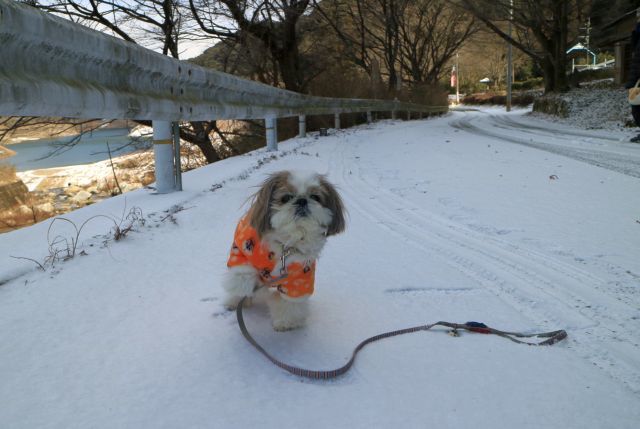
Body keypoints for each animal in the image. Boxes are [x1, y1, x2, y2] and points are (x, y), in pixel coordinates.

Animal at [224, 171, 344, 332]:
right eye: (286, 198)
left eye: (315, 197)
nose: (302, 200)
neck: (285, 245)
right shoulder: (242, 250)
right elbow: (242, 275)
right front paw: (244, 286)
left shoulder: (299, 277)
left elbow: (290, 303)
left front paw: (286, 323)